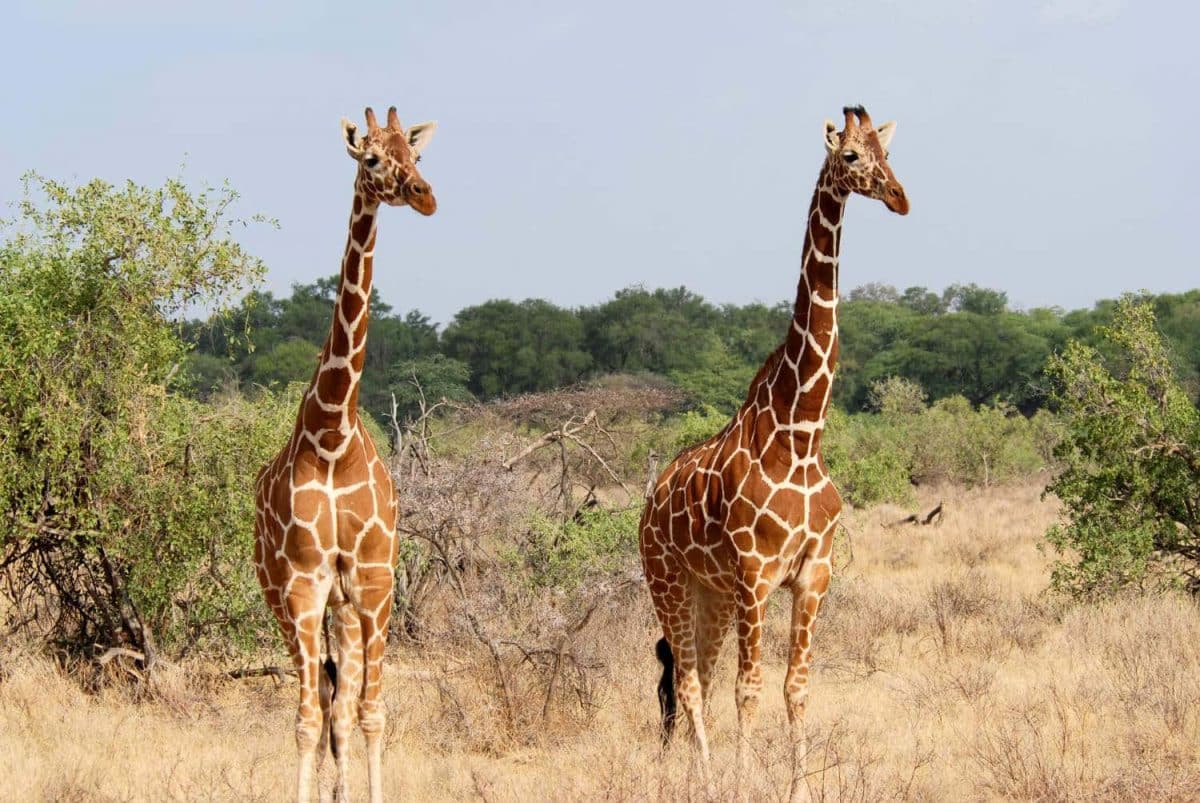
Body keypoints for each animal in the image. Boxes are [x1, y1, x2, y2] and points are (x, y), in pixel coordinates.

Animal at [253, 105, 436, 801]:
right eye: (372, 159)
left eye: (416, 156)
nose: (425, 195)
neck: (332, 436)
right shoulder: (303, 584)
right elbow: (306, 719)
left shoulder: (374, 581)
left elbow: (371, 713)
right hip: (283, 599)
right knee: (324, 705)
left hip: (346, 609)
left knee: (346, 705)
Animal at [638, 105, 907, 796]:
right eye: (851, 157)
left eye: (888, 152)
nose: (900, 198)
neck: (802, 433)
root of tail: (650, 500)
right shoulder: (756, 575)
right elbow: (750, 689)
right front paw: (740, 784)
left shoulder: (813, 574)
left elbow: (796, 687)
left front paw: (800, 786)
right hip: (667, 579)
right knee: (688, 682)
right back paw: (707, 782)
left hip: (708, 593)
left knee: (695, 677)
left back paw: (696, 773)